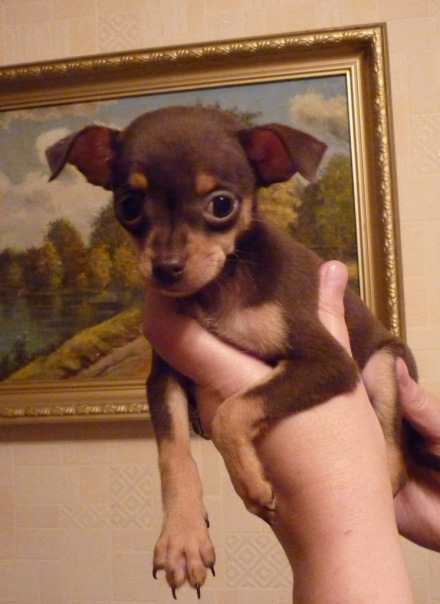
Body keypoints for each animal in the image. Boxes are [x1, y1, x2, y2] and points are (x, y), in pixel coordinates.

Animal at [46, 105, 438, 598]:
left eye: (221, 205)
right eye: (128, 206)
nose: (166, 267)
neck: (221, 286)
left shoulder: (328, 363)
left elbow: (233, 411)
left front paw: (250, 482)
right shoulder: (164, 378)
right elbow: (172, 454)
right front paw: (182, 539)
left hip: (384, 365)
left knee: (394, 455)